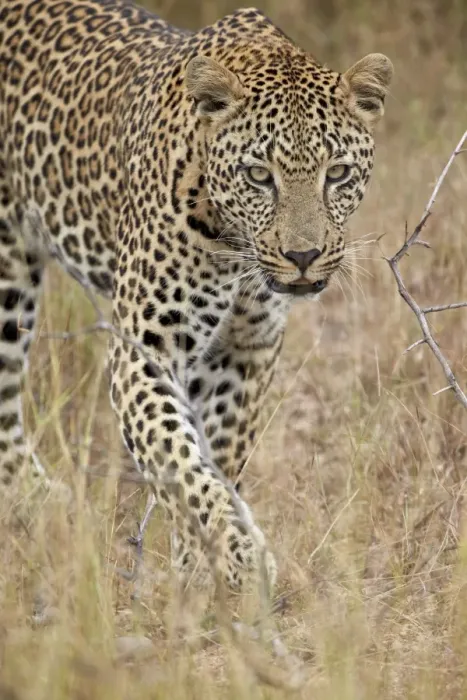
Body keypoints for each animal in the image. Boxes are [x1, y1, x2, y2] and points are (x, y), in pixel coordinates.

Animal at [0, 0, 393, 591]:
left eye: (338, 173)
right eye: (259, 175)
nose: (303, 256)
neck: (233, 245)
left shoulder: (246, 351)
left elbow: (219, 456)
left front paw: (197, 570)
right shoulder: (144, 351)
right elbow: (175, 457)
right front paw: (238, 556)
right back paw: (40, 507)